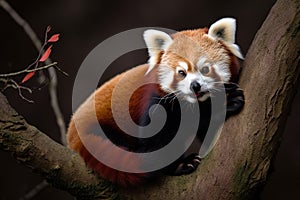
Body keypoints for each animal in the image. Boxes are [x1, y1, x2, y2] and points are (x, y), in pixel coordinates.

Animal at [67, 18, 245, 187]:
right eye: (181, 73)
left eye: (205, 69)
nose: (195, 86)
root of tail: (72, 134)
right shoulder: (154, 102)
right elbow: (156, 142)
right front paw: (225, 104)